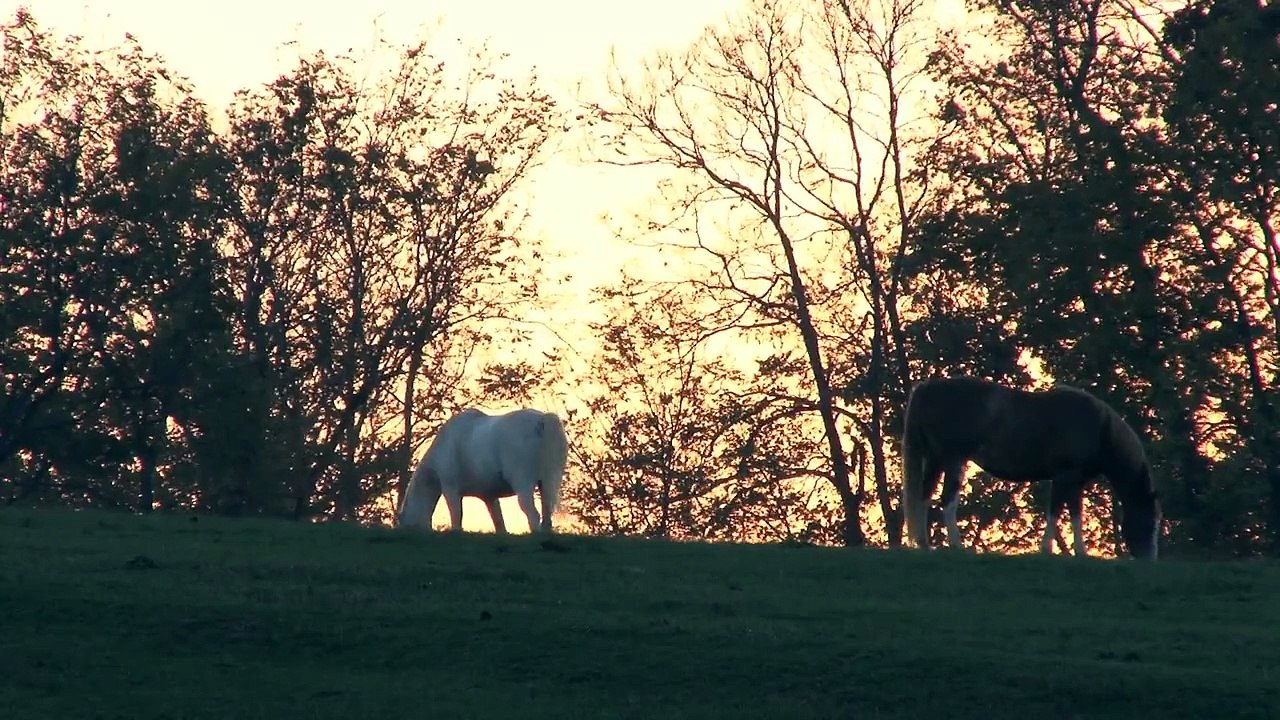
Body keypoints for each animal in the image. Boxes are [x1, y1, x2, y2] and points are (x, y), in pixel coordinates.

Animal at [396, 407, 568, 534]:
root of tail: (542, 421)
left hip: (523, 483)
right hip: (546, 483)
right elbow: (498, 521)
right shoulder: (489, 497)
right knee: (546, 513)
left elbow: (456, 514)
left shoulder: (450, 489)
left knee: (532, 512)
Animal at [900, 376, 1161, 560]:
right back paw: (956, 545)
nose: (1150, 559)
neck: (1099, 428)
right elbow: (1063, 511)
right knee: (947, 500)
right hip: (953, 460)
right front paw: (1064, 550)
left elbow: (1066, 511)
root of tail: (926, 388)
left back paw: (924, 544)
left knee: (924, 497)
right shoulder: (1067, 476)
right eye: (1150, 522)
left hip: (936, 460)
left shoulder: (1070, 480)